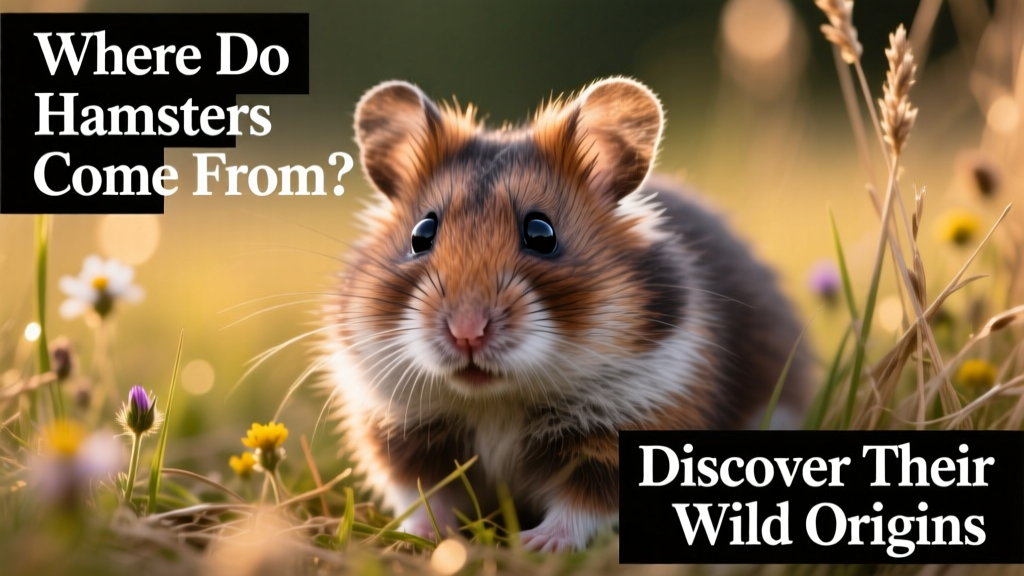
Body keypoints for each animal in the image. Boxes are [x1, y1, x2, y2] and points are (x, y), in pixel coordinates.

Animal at [326, 77, 810, 552]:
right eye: (421, 234)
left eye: (542, 233)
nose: (467, 333)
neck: (497, 400)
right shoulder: (397, 431)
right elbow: (425, 494)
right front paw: (428, 538)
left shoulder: (633, 422)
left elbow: (583, 505)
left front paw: (535, 545)